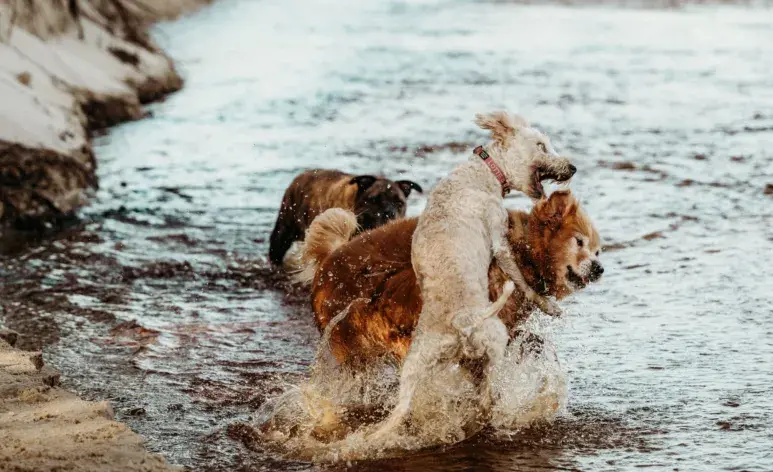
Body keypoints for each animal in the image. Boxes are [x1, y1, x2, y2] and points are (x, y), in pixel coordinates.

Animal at [364, 110, 576, 438]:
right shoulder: (499, 238)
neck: (483, 171)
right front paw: (548, 305)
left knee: (401, 412)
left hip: (416, 367)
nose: (573, 167)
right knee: (490, 388)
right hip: (496, 339)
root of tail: (460, 324)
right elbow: (523, 282)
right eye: (542, 145)